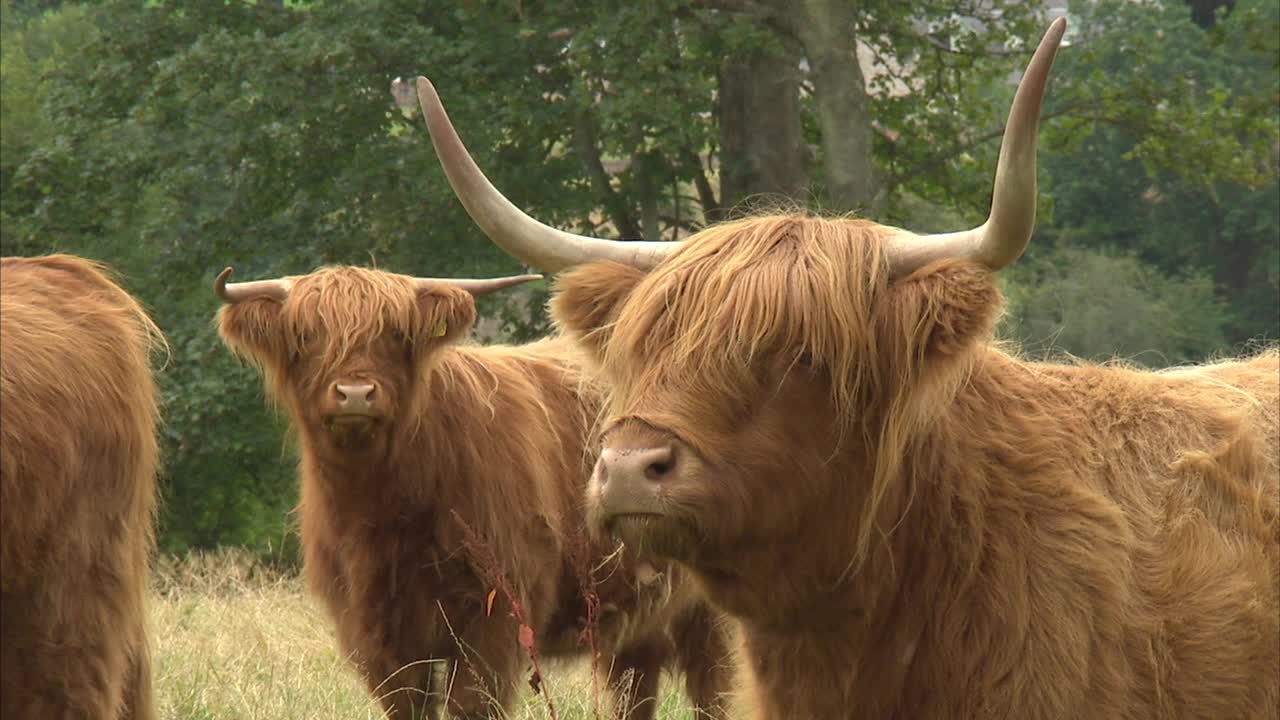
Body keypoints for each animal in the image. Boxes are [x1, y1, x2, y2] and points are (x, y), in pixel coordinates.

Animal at [211, 265, 732, 717]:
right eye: (305, 336)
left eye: (397, 335)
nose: (355, 394)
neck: (380, 510)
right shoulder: (375, 634)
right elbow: (408, 706)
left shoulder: (496, 615)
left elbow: (471, 704)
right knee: (635, 687)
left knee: (713, 687)